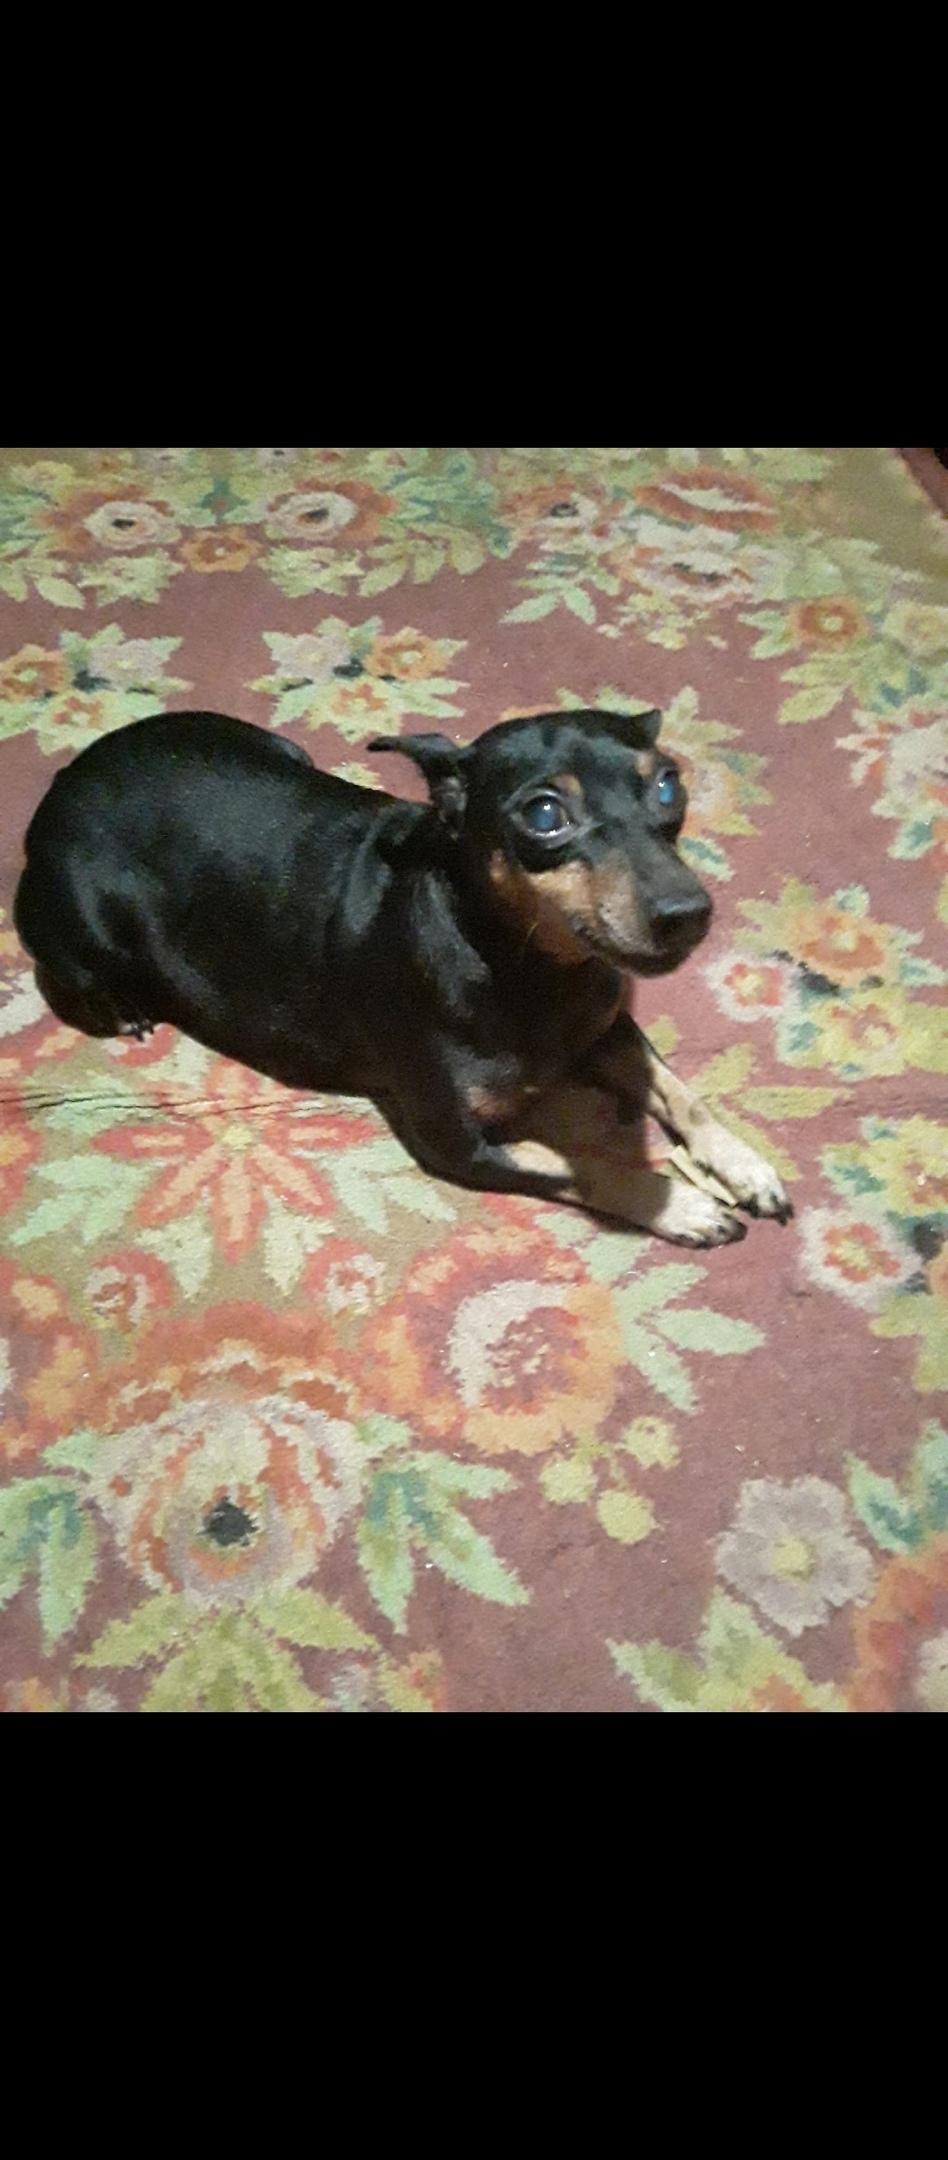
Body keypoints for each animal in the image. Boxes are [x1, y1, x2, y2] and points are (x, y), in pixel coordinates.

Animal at [13, 706, 792, 1246]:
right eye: (545, 813)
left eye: (667, 786)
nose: (688, 914)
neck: (531, 966)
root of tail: (61, 783)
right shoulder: (457, 1141)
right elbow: (582, 1162)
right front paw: (681, 1203)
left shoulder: (604, 1024)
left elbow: (682, 1092)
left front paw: (745, 1167)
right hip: (86, 928)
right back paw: (126, 1008)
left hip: (276, 748)